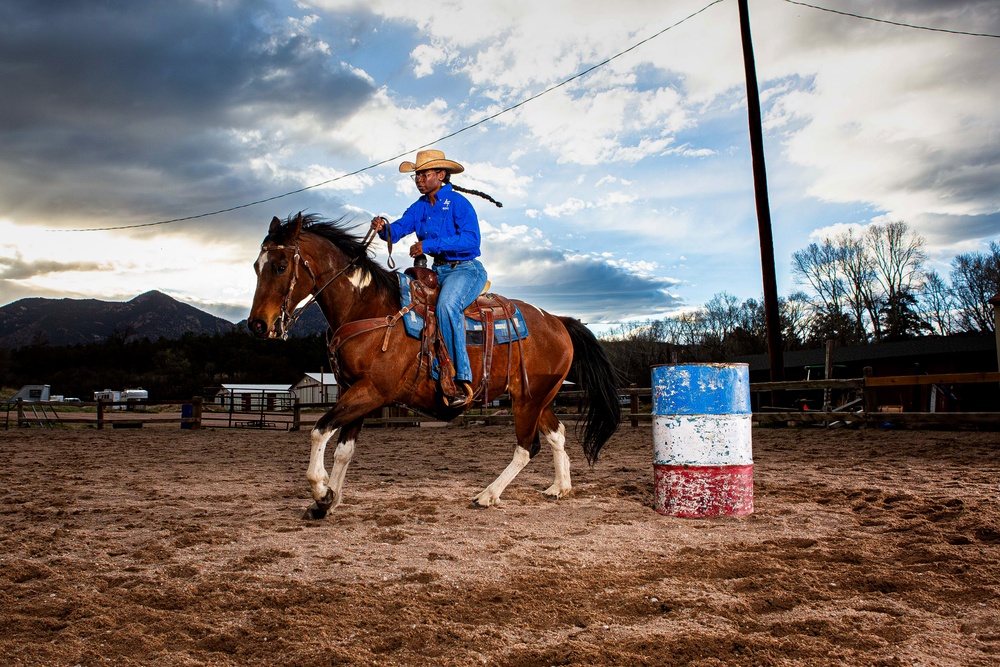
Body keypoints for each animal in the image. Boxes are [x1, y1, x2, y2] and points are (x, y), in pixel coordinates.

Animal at [247, 211, 616, 520]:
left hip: (528, 399)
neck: (368, 308)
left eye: (280, 266)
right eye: (255, 266)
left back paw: (487, 495)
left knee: (528, 447)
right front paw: (330, 500)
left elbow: (319, 430)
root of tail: (557, 321)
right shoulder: (353, 391)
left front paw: (322, 492)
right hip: (539, 397)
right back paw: (559, 487)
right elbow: (343, 451)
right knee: (557, 434)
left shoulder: (372, 392)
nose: (257, 325)